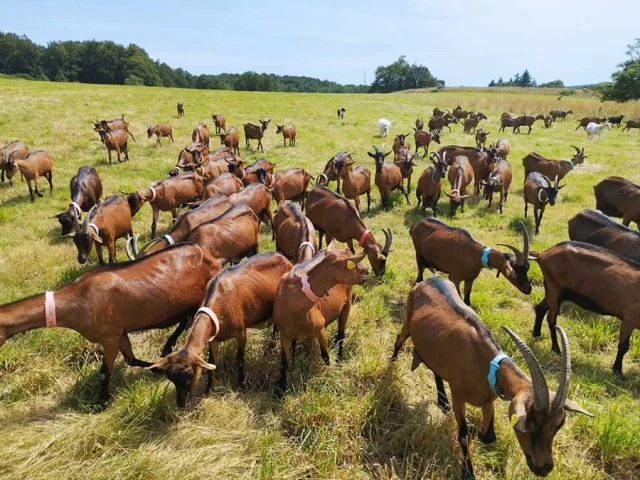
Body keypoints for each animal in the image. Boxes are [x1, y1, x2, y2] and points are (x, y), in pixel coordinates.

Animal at [0, 244, 225, 404]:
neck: (78, 299)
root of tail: (212, 257)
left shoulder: (109, 338)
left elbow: (103, 373)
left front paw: (101, 402)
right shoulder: (120, 333)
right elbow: (131, 360)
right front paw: (156, 367)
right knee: (184, 321)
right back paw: (168, 345)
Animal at [148, 253, 292, 406]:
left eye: (191, 375)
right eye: (171, 379)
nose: (181, 404)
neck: (219, 302)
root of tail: (282, 256)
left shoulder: (241, 333)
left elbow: (239, 361)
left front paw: (241, 386)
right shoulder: (213, 338)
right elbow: (212, 363)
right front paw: (207, 391)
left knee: (276, 327)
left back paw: (270, 348)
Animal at [272, 248, 368, 394]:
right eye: (353, 265)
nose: (367, 271)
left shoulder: (319, 328)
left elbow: (325, 356)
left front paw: (328, 377)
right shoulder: (285, 334)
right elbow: (284, 362)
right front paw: (280, 390)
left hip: (347, 304)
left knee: (341, 334)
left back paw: (339, 360)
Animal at [388, 276, 592, 480]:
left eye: (559, 425)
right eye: (530, 423)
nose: (544, 468)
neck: (484, 363)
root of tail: (430, 279)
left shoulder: (489, 399)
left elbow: (488, 436)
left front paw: (475, 430)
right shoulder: (458, 396)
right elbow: (463, 435)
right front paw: (468, 472)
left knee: (435, 369)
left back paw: (442, 401)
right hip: (408, 321)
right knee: (399, 338)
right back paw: (391, 364)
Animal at [532, 240, 640, 376]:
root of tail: (543, 254)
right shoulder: (630, 318)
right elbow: (624, 346)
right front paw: (617, 371)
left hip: (556, 293)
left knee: (540, 308)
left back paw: (536, 334)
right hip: (554, 288)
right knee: (551, 320)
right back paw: (556, 349)